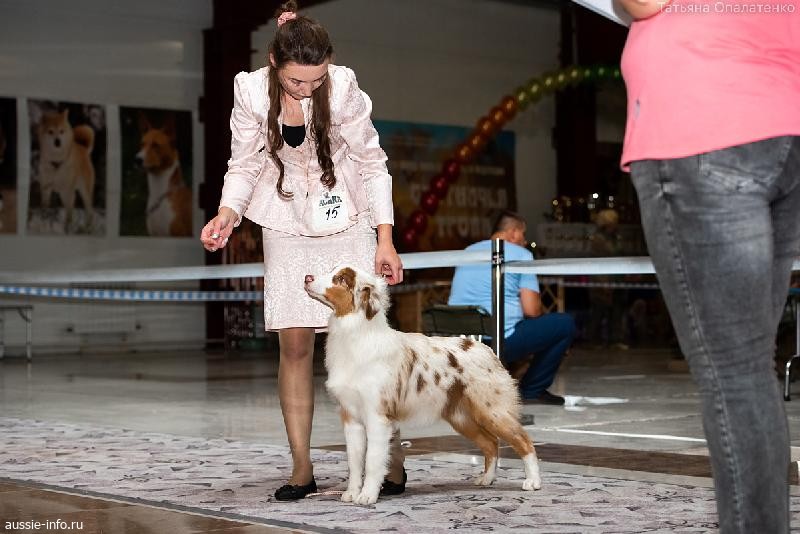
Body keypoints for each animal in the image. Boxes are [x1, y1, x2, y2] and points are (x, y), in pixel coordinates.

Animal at [305, 265, 541, 505]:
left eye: (341, 279)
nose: (307, 277)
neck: (356, 334)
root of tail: (487, 349)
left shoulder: (377, 417)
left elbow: (372, 460)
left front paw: (368, 495)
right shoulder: (350, 415)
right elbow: (354, 461)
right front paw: (352, 493)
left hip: (492, 410)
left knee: (523, 440)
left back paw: (533, 482)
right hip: (462, 417)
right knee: (491, 443)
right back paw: (487, 479)